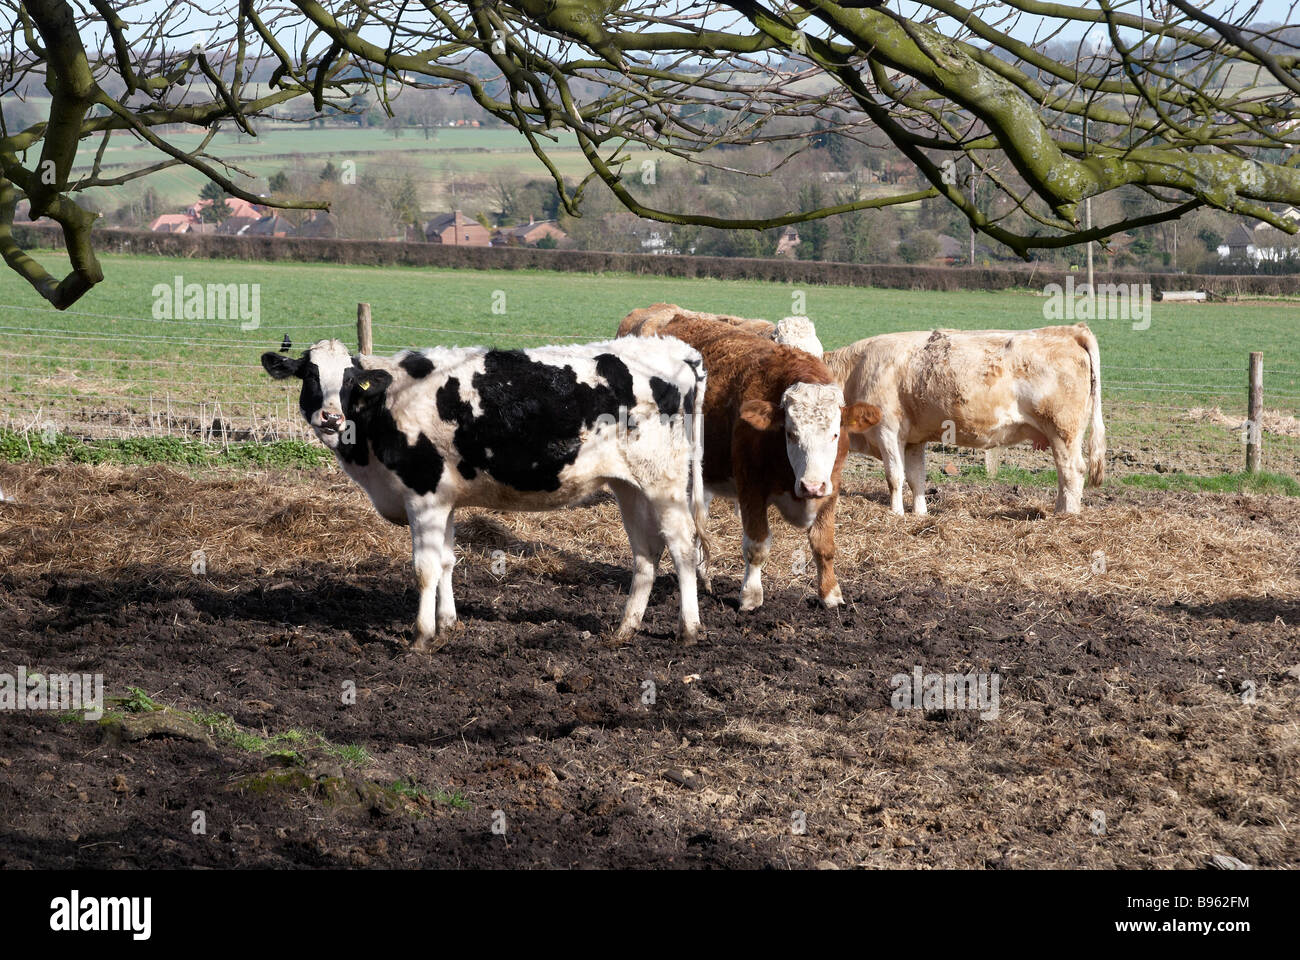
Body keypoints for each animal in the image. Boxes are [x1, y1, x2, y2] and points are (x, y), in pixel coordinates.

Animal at [262, 337, 712, 650]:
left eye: (351, 381)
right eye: (310, 376)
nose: (331, 416)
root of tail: (678, 351)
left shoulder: (423, 497)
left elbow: (425, 568)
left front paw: (421, 637)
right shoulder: (443, 501)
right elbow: (446, 562)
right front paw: (448, 625)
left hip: (666, 485)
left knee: (682, 547)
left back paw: (689, 629)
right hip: (629, 487)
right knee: (646, 555)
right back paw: (624, 630)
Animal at [618, 312, 881, 611]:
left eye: (835, 434)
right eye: (791, 433)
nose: (811, 486)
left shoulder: (831, 488)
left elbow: (823, 545)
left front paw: (830, 594)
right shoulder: (750, 487)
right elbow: (757, 546)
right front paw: (751, 596)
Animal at [823, 323, 1105, 516]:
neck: (855, 371)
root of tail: (1069, 330)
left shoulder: (887, 430)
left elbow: (894, 477)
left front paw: (896, 513)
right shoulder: (914, 439)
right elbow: (916, 478)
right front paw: (920, 514)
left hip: (1062, 430)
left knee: (1072, 471)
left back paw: (1065, 514)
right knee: (1064, 473)